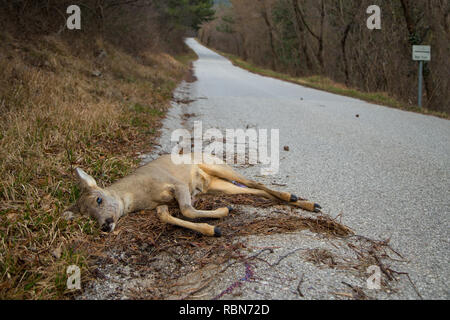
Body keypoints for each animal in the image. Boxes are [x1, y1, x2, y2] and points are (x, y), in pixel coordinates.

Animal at [65, 154, 322, 236]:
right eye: (88, 218)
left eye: (99, 199)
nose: (105, 225)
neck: (138, 194)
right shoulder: (160, 203)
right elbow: (165, 216)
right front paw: (213, 227)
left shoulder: (176, 183)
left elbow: (187, 209)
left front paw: (221, 216)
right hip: (218, 185)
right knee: (255, 189)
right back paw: (303, 203)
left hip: (217, 167)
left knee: (254, 181)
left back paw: (296, 198)